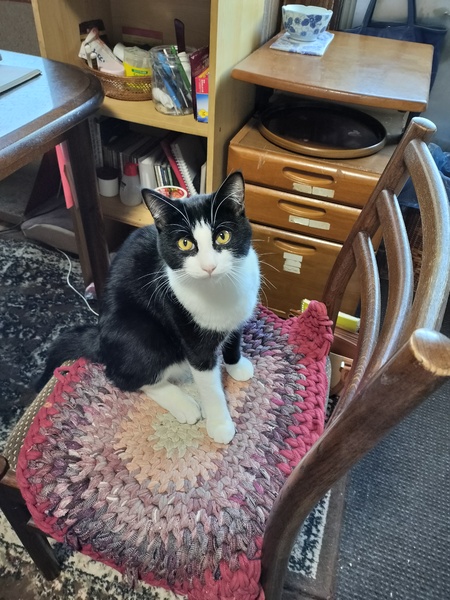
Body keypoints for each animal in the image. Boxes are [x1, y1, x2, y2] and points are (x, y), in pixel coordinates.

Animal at [36, 171, 260, 444]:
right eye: (185, 243)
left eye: (223, 236)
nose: (209, 267)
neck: (219, 290)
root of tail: (100, 339)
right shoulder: (189, 335)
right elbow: (210, 385)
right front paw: (220, 424)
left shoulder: (238, 314)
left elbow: (234, 338)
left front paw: (237, 366)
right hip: (140, 334)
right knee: (123, 376)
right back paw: (184, 404)